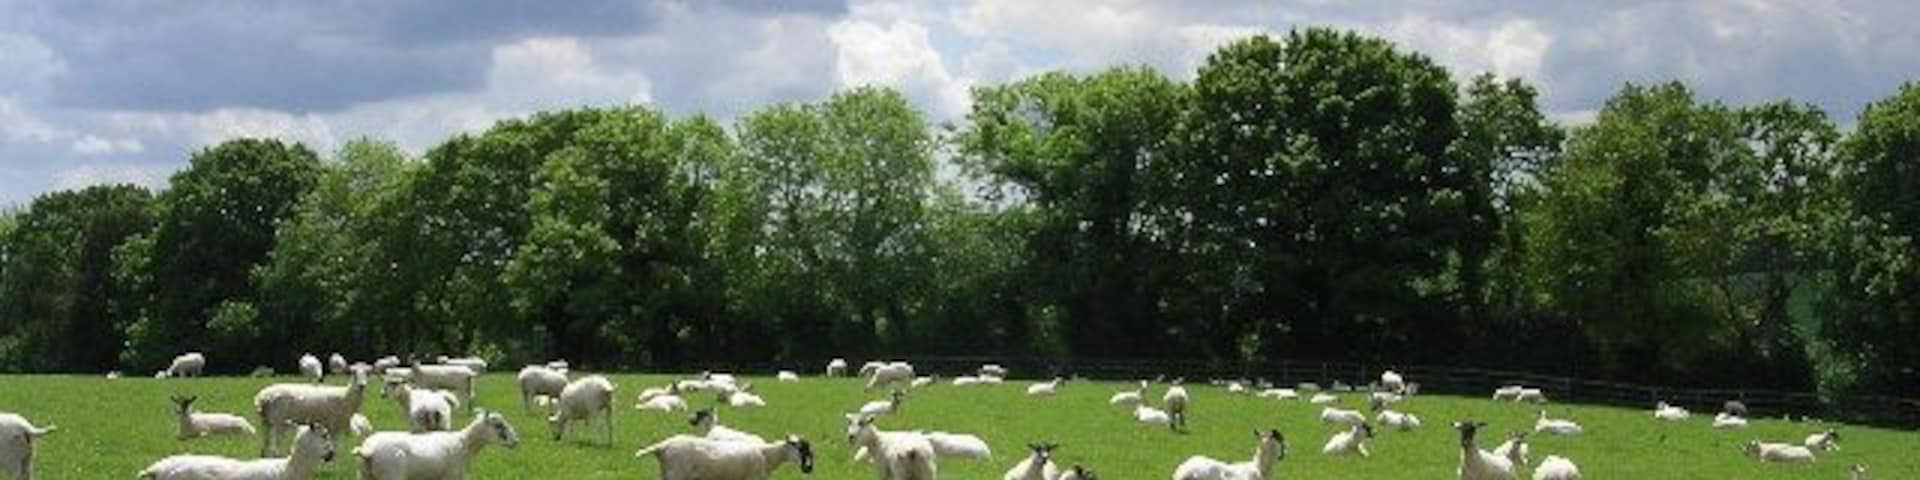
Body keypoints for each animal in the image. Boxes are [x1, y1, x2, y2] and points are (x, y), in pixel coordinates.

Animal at [354, 411, 520, 480]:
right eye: (499, 425)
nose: (516, 442)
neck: (464, 443)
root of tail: (367, 450)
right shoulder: (452, 476)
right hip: (392, 475)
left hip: (364, 476)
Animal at [635, 434, 816, 480]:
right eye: (801, 449)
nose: (809, 469)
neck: (767, 455)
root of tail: (663, 446)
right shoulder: (753, 479)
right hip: (676, 476)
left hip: (667, 474)